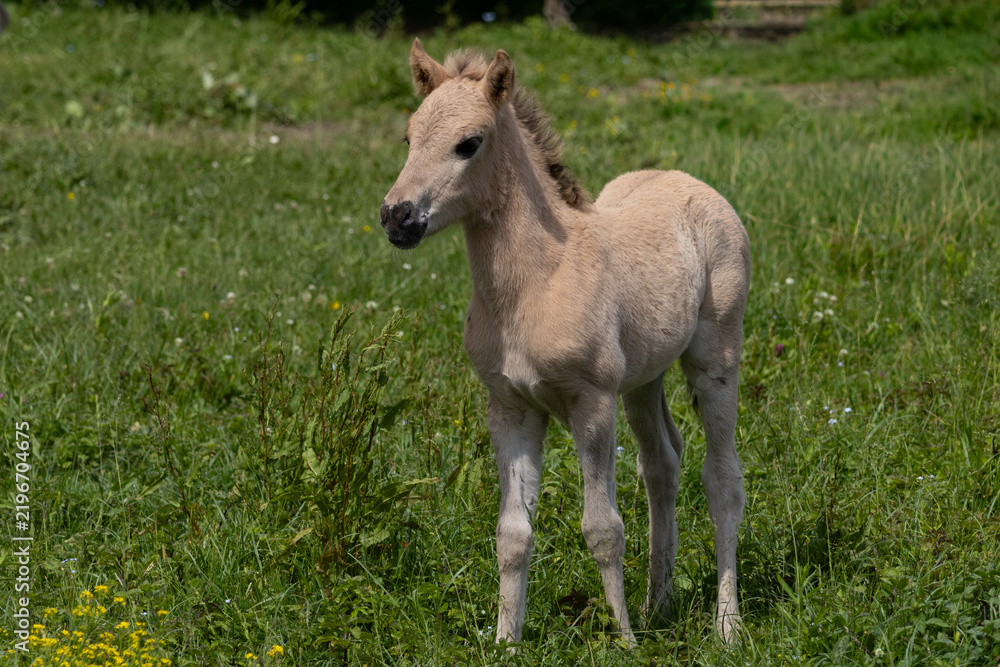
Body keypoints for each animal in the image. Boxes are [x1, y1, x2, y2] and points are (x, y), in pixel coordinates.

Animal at [380, 39, 750, 646]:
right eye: (409, 138)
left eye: (468, 143)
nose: (397, 217)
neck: (538, 281)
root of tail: (691, 182)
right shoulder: (510, 408)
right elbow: (511, 534)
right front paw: (505, 641)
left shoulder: (590, 403)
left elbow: (602, 528)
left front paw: (623, 641)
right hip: (642, 380)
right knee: (662, 463)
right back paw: (658, 604)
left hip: (715, 359)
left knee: (723, 482)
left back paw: (726, 625)